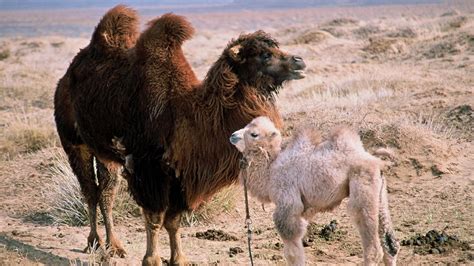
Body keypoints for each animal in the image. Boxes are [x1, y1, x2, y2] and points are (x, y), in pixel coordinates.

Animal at [53, 5, 306, 264]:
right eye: (264, 54)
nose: (299, 61)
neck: (187, 113)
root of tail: (67, 76)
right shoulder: (148, 168)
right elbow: (154, 218)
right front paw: (151, 259)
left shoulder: (182, 174)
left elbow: (173, 222)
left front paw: (179, 259)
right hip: (74, 142)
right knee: (90, 191)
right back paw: (94, 242)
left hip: (106, 152)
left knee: (106, 191)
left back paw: (114, 246)